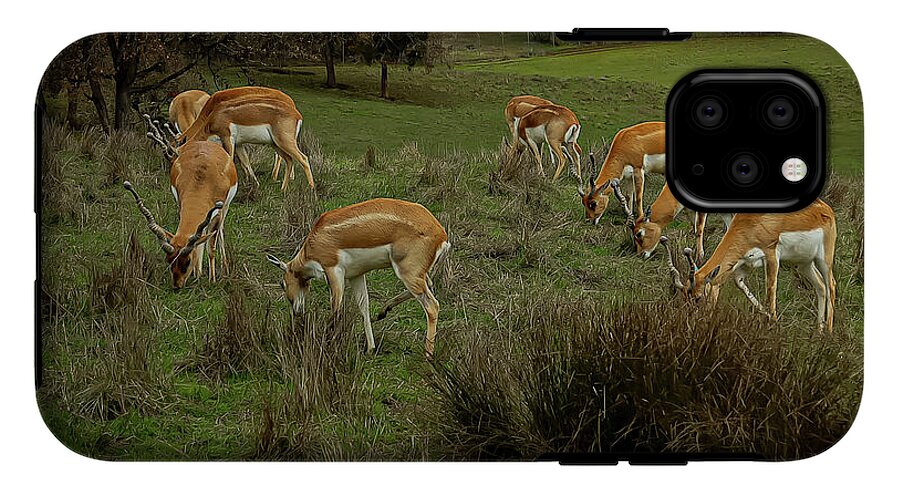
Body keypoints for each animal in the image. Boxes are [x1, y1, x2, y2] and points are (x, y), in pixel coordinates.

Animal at [124, 136, 238, 289]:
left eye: (187, 261)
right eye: (169, 260)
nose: (177, 285)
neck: (202, 179)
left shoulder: (217, 214)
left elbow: (211, 248)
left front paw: (212, 280)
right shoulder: (180, 204)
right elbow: (198, 241)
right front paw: (197, 274)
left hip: (225, 209)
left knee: (219, 231)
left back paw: (224, 267)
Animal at [178, 86, 314, 192]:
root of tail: (297, 114)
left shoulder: (227, 138)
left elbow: (230, 161)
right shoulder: (239, 144)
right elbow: (246, 162)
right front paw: (254, 184)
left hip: (284, 142)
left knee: (303, 158)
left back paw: (311, 189)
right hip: (275, 143)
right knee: (289, 159)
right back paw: (283, 189)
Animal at [265, 198, 451, 358]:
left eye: (282, 284)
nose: (296, 311)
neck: (314, 242)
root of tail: (441, 234)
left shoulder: (333, 271)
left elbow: (336, 308)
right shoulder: (356, 275)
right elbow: (363, 306)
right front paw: (370, 348)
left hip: (407, 272)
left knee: (432, 305)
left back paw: (428, 354)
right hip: (415, 273)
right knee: (429, 285)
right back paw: (383, 311)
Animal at [659, 198, 837, 332]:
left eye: (698, 298)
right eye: (684, 297)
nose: (692, 322)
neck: (752, 221)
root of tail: (827, 210)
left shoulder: (772, 255)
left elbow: (770, 289)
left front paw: (772, 323)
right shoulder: (743, 264)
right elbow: (740, 285)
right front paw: (767, 317)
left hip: (823, 260)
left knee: (831, 285)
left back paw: (828, 332)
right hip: (803, 264)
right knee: (820, 286)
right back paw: (819, 330)